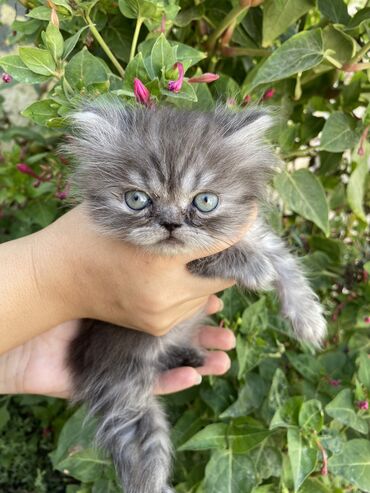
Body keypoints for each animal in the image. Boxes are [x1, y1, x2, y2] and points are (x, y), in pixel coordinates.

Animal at [65, 100, 326, 492]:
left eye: (204, 201)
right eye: (137, 199)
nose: (171, 224)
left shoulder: (256, 232)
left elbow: (288, 268)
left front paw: (308, 321)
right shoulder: (192, 265)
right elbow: (220, 254)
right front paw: (254, 267)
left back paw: (189, 356)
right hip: (124, 385)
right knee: (140, 452)